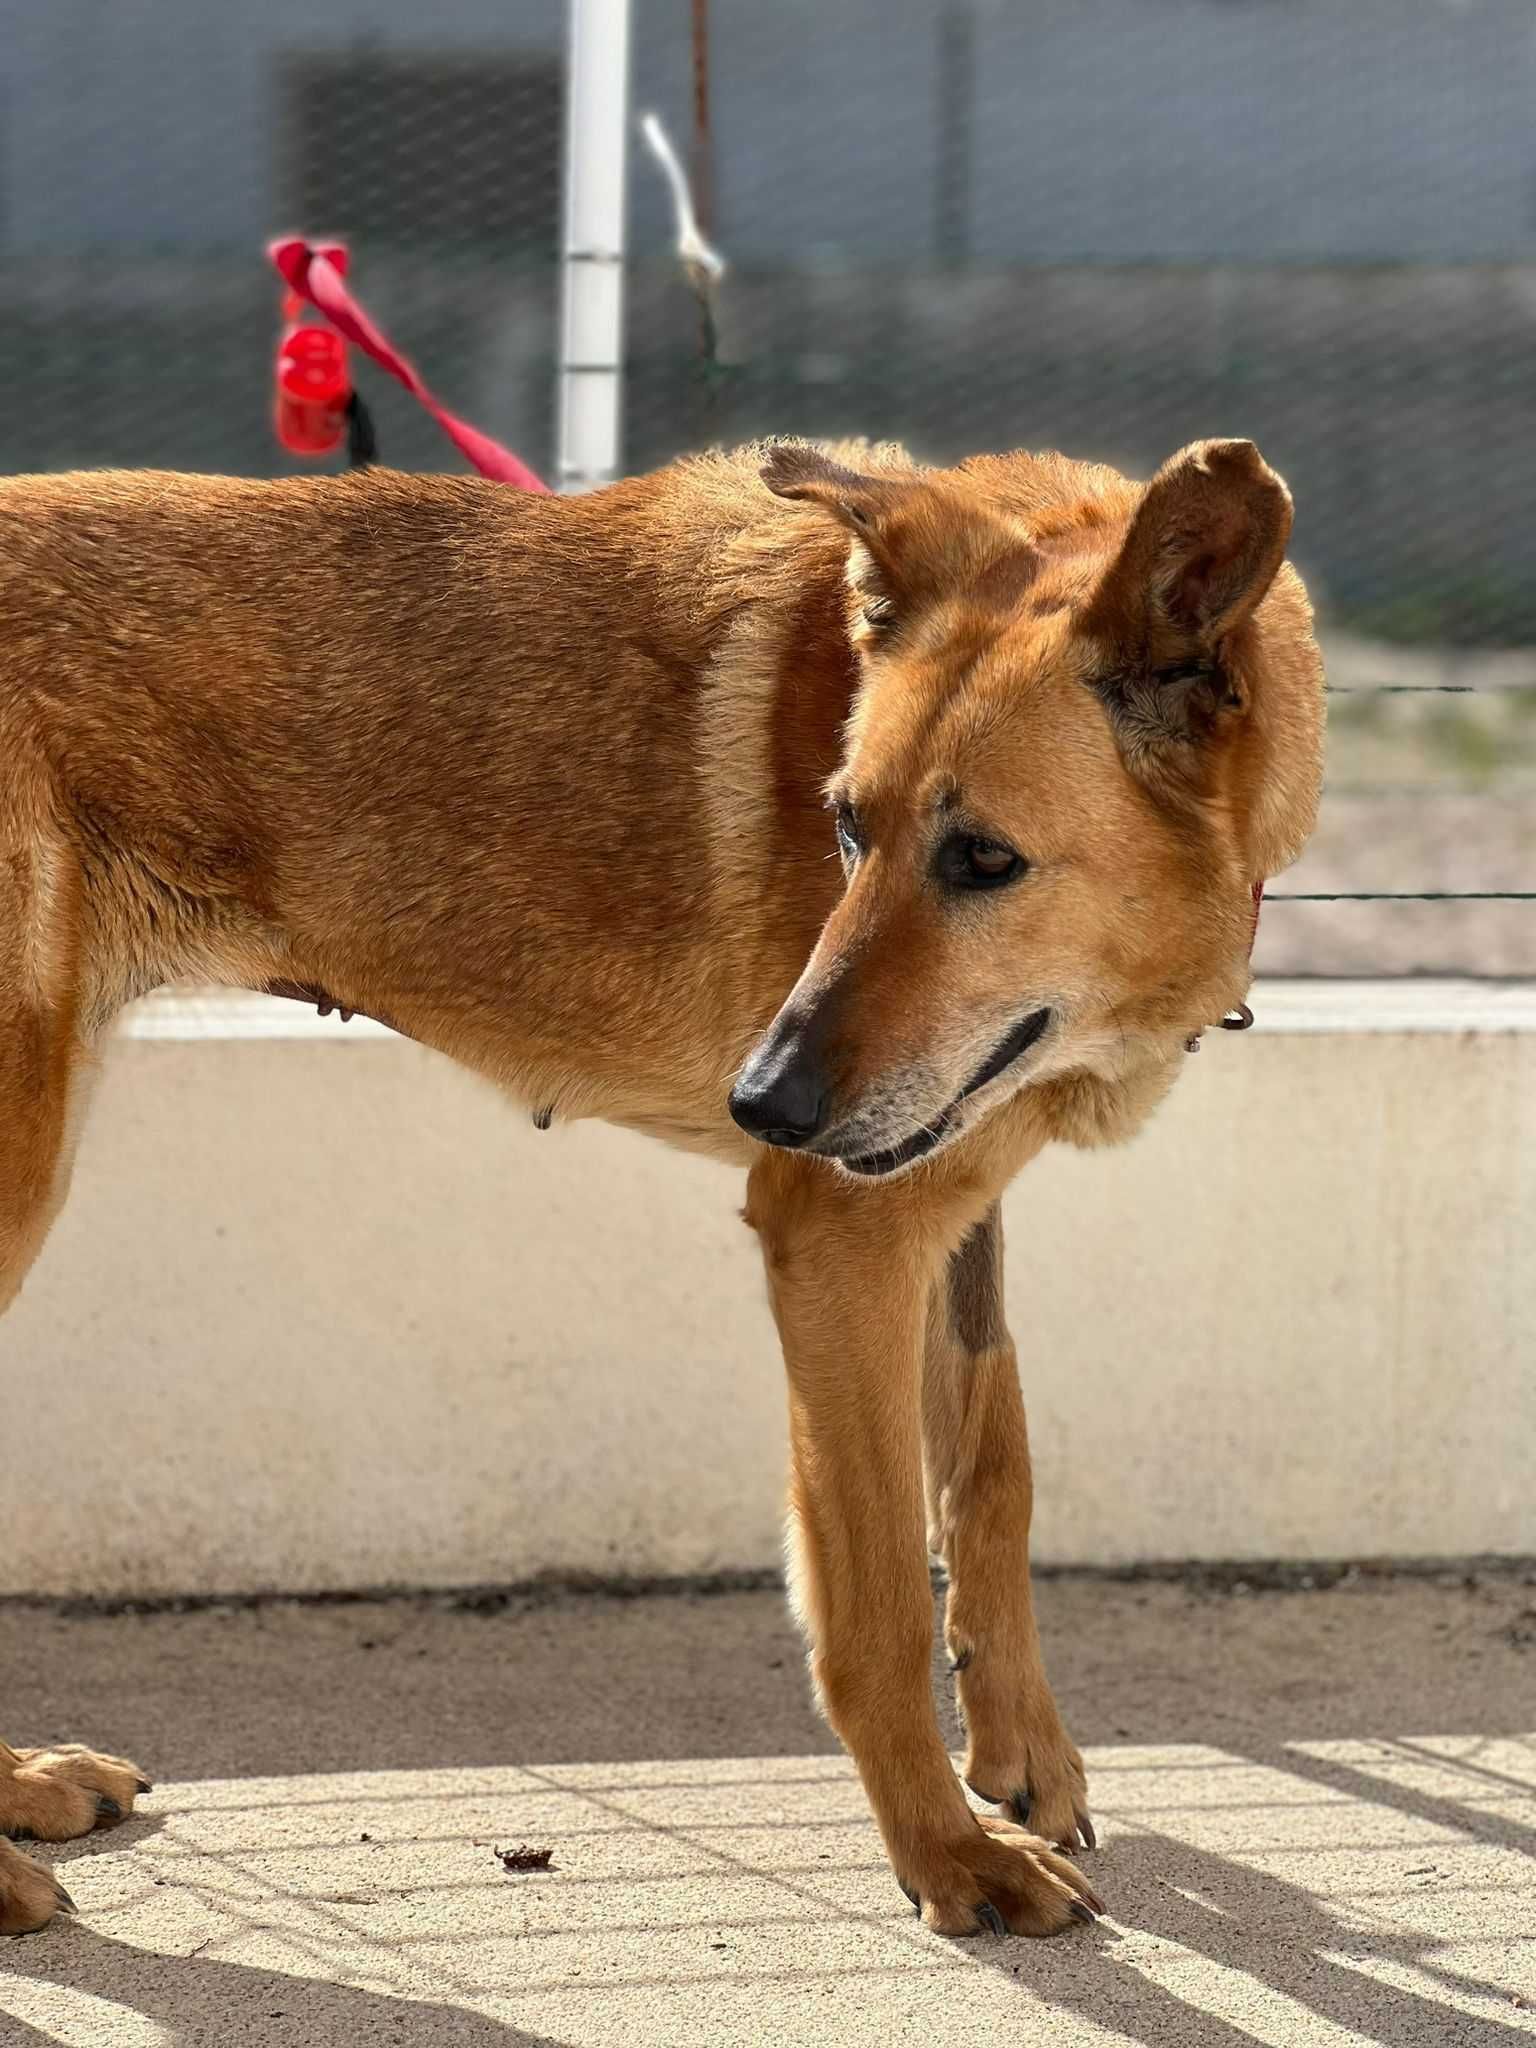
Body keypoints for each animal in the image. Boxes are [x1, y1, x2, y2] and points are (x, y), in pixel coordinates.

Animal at [0, 432, 1327, 1933]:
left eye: (984, 858)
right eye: (845, 824)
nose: (764, 1105)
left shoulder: (951, 1203)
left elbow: (992, 1468)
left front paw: (1023, 1750)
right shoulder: (839, 1245)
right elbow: (876, 1596)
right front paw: (946, 1849)